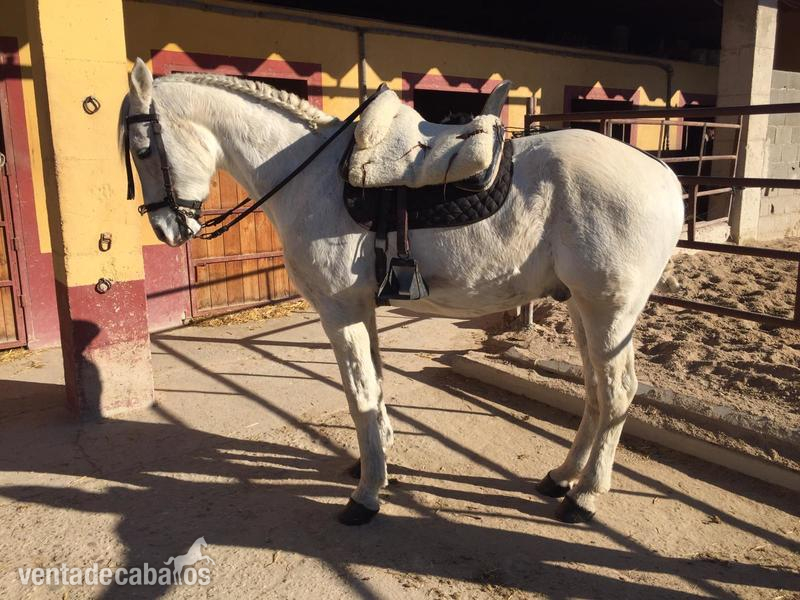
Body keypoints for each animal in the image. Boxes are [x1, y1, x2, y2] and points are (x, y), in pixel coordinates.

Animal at [122, 58, 683, 525]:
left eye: (144, 149)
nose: (168, 230)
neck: (312, 178)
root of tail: (662, 174)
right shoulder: (361, 309)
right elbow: (374, 387)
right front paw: (377, 464)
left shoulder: (339, 310)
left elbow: (360, 395)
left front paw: (367, 495)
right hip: (584, 310)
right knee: (594, 393)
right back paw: (563, 477)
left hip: (610, 311)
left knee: (617, 392)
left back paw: (585, 497)